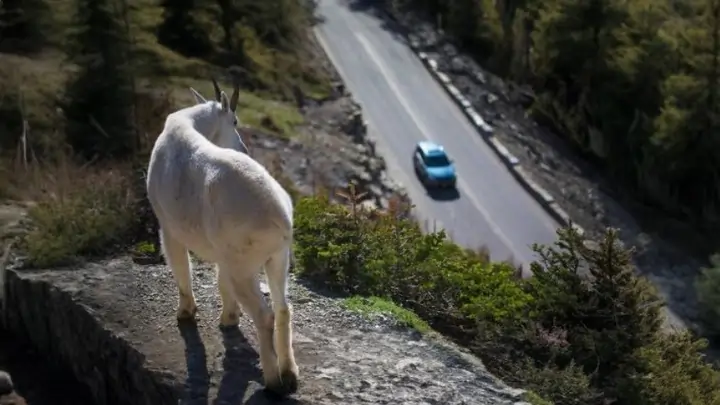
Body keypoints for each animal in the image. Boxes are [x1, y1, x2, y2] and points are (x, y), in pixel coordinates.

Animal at [146, 78, 298, 396]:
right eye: (235, 121)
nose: (243, 147)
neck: (190, 123)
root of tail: (280, 216)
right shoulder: (222, 251)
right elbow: (220, 279)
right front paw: (229, 319)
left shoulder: (168, 227)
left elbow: (181, 267)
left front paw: (186, 312)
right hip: (277, 258)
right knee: (283, 308)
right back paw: (290, 374)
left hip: (245, 265)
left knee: (264, 314)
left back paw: (273, 380)